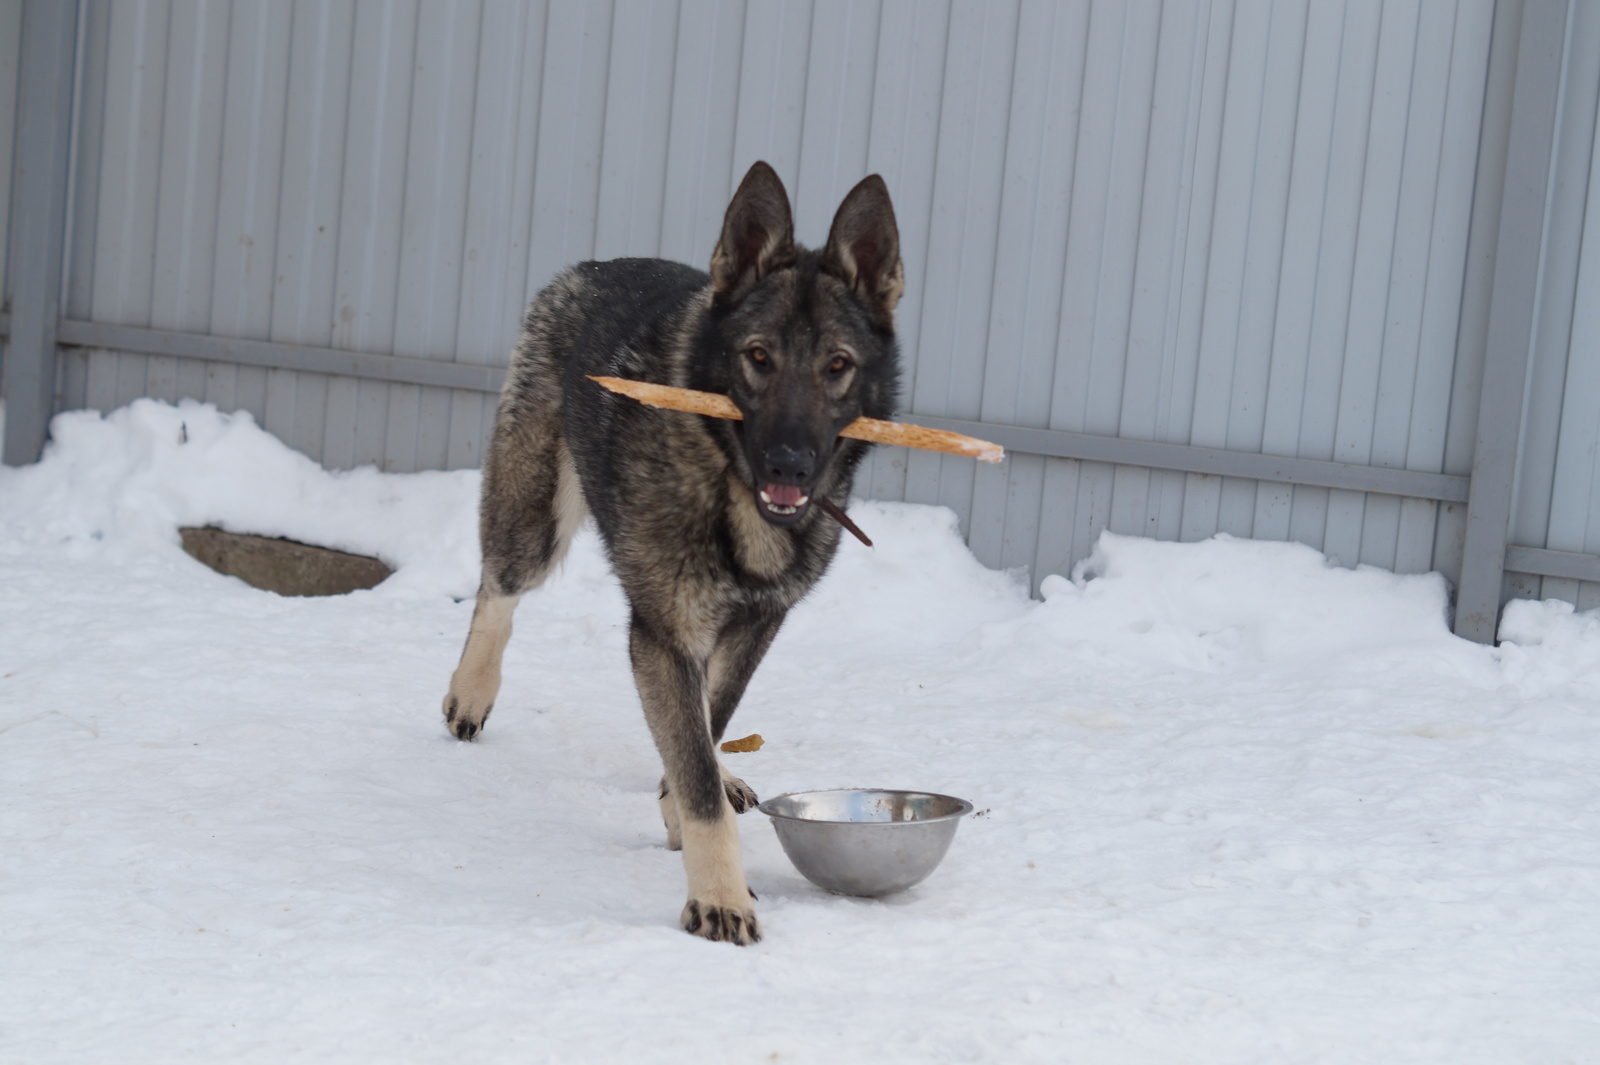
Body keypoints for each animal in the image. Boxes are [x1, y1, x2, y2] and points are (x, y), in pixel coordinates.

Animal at [442, 162, 904, 944]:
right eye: (758, 358)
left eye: (837, 365)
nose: (790, 464)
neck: (730, 487)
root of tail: (595, 267)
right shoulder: (663, 633)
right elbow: (696, 769)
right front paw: (720, 893)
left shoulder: (756, 624)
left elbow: (707, 724)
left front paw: (684, 801)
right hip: (535, 519)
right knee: (497, 587)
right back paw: (471, 691)